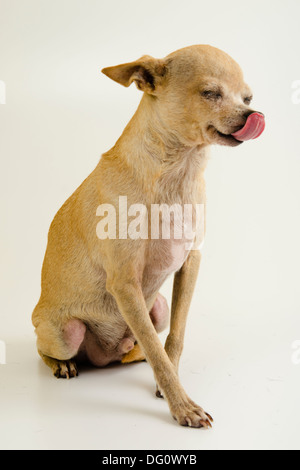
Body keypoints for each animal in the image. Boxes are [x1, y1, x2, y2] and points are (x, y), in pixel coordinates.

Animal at [31, 46, 264, 428]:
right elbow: (159, 353)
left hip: (158, 308)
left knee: (141, 344)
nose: (254, 115)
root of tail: (105, 357)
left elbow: (172, 340)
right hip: (65, 332)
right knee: (47, 349)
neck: (179, 172)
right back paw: (63, 364)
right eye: (210, 93)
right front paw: (182, 405)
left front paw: (169, 380)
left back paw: (133, 354)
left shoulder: (190, 263)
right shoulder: (126, 283)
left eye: (247, 98)